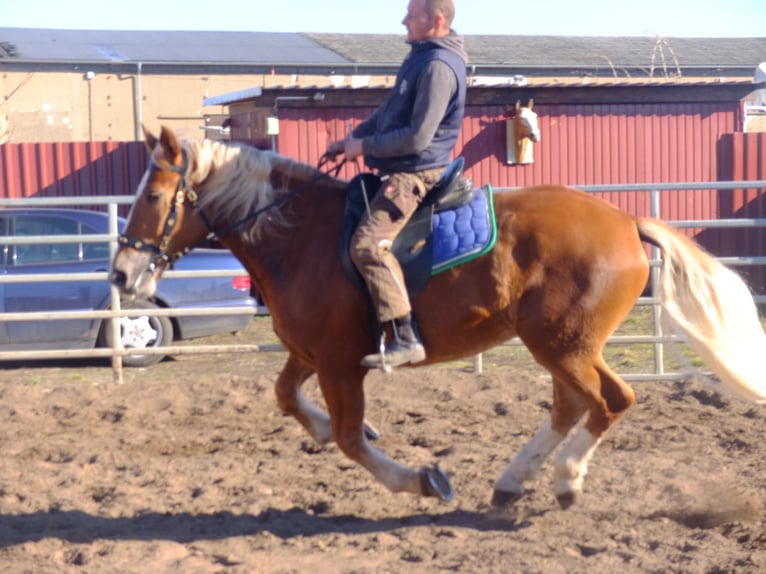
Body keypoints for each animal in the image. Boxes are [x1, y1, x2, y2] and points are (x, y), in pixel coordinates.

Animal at [112, 127, 766, 512]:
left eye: (153, 196)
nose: (120, 275)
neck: (300, 236)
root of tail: (625, 221)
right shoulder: (309, 354)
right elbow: (287, 399)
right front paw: (327, 429)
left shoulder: (341, 364)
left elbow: (349, 438)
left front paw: (422, 479)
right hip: (560, 346)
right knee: (571, 407)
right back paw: (514, 481)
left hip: (564, 344)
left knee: (610, 401)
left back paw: (564, 479)